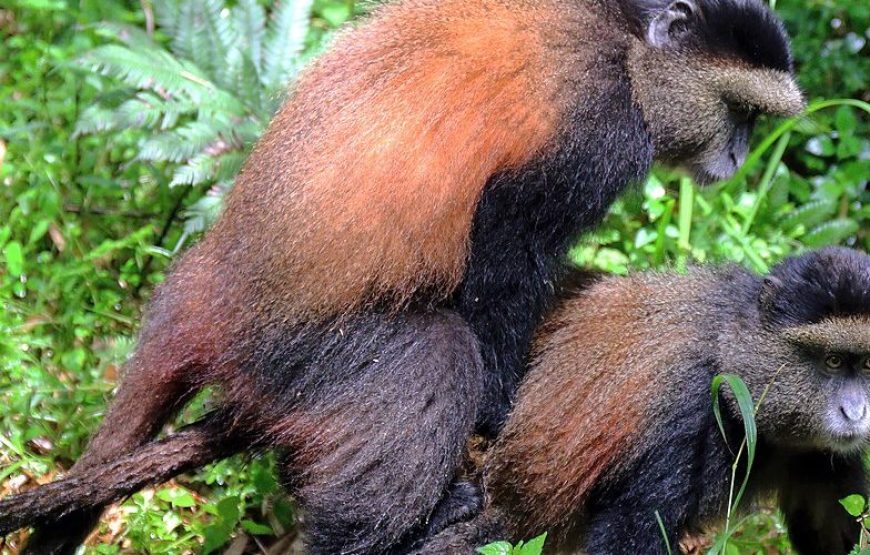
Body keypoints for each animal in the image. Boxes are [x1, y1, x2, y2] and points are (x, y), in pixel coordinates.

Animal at [2, 0, 804, 553]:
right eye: (736, 110)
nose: (738, 156)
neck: (628, 37)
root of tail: (211, 288)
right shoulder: (598, 131)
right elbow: (503, 247)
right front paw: (500, 412)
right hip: (295, 358)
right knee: (434, 352)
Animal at [416, 247, 870, 555]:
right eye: (832, 361)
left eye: (866, 364)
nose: (855, 412)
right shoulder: (687, 421)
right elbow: (630, 532)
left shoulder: (827, 458)